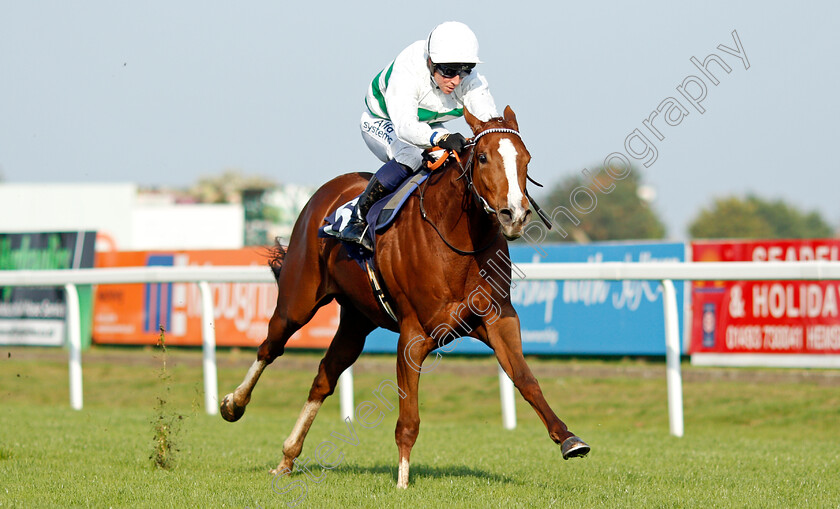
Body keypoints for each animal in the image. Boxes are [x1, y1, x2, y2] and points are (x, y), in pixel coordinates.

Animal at [223, 105, 592, 486]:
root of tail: (325, 192)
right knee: (270, 347)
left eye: (526, 160)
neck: (456, 242)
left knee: (325, 375)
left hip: (357, 320)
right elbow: (408, 418)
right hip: (298, 300)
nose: (514, 215)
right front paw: (402, 480)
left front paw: (569, 440)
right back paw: (234, 404)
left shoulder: (498, 318)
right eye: (484, 157)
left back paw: (288, 455)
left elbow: (525, 379)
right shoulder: (414, 335)